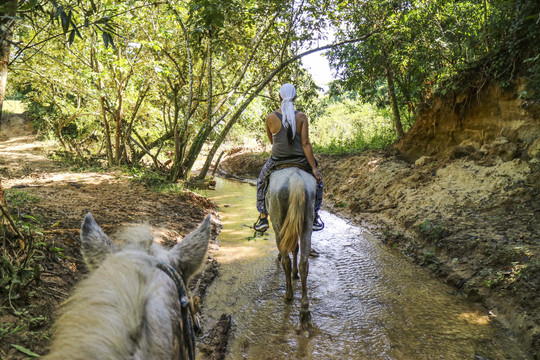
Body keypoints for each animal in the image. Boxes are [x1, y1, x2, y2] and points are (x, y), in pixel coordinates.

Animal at [266, 166, 316, 330]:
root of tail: (295, 178)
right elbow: (295, 247)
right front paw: (295, 274)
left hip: (278, 223)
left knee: (286, 261)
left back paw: (288, 295)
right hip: (307, 223)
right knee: (304, 263)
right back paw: (304, 313)